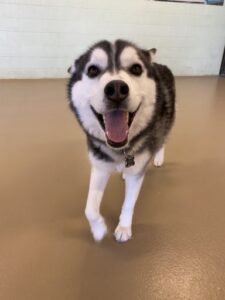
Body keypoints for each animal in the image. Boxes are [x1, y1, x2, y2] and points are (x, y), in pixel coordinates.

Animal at [67, 39, 176, 241]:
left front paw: (124, 228)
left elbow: (128, 204)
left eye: (136, 68)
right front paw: (99, 229)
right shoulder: (100, 167)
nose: (116, 89)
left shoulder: (137, 174)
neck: (120, 149)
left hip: (167, 120)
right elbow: (89, 209)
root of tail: (159, 64)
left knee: (162, 140)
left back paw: (158, 157)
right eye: (92, 70)